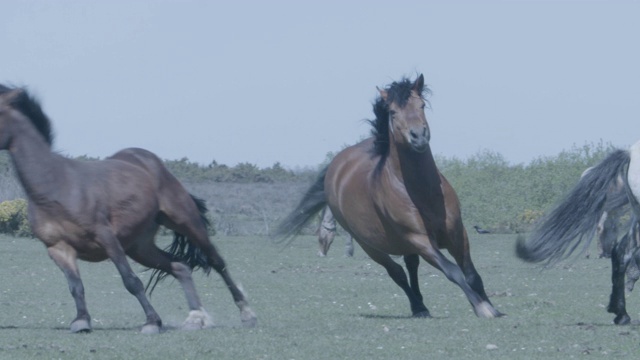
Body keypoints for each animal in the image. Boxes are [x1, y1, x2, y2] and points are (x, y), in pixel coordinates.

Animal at [0, 86, 255, 334]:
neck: (57, 186)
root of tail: (150, 161)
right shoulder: (58, 249)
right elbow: (75, 286)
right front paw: (82, 321)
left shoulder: (108, 239)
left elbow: (130, 281)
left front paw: (152, 322)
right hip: (140, 247)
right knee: (180, 266)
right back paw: (195, 317)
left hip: (185, 222)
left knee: (217, 261)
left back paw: (246, 312)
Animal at [276, 75, 504, 318]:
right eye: (393, 112)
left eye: (422, 105)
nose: (418, 136)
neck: (423, 191)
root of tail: (337, 165)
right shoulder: (420, 239)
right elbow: (453, 271)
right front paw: (482, 308)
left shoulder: (457, 233)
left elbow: (471, 274)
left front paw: (491, 307)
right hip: (370, 245)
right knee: (397, 273)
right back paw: (418, 307)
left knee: (411, 266)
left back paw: (421, 306)